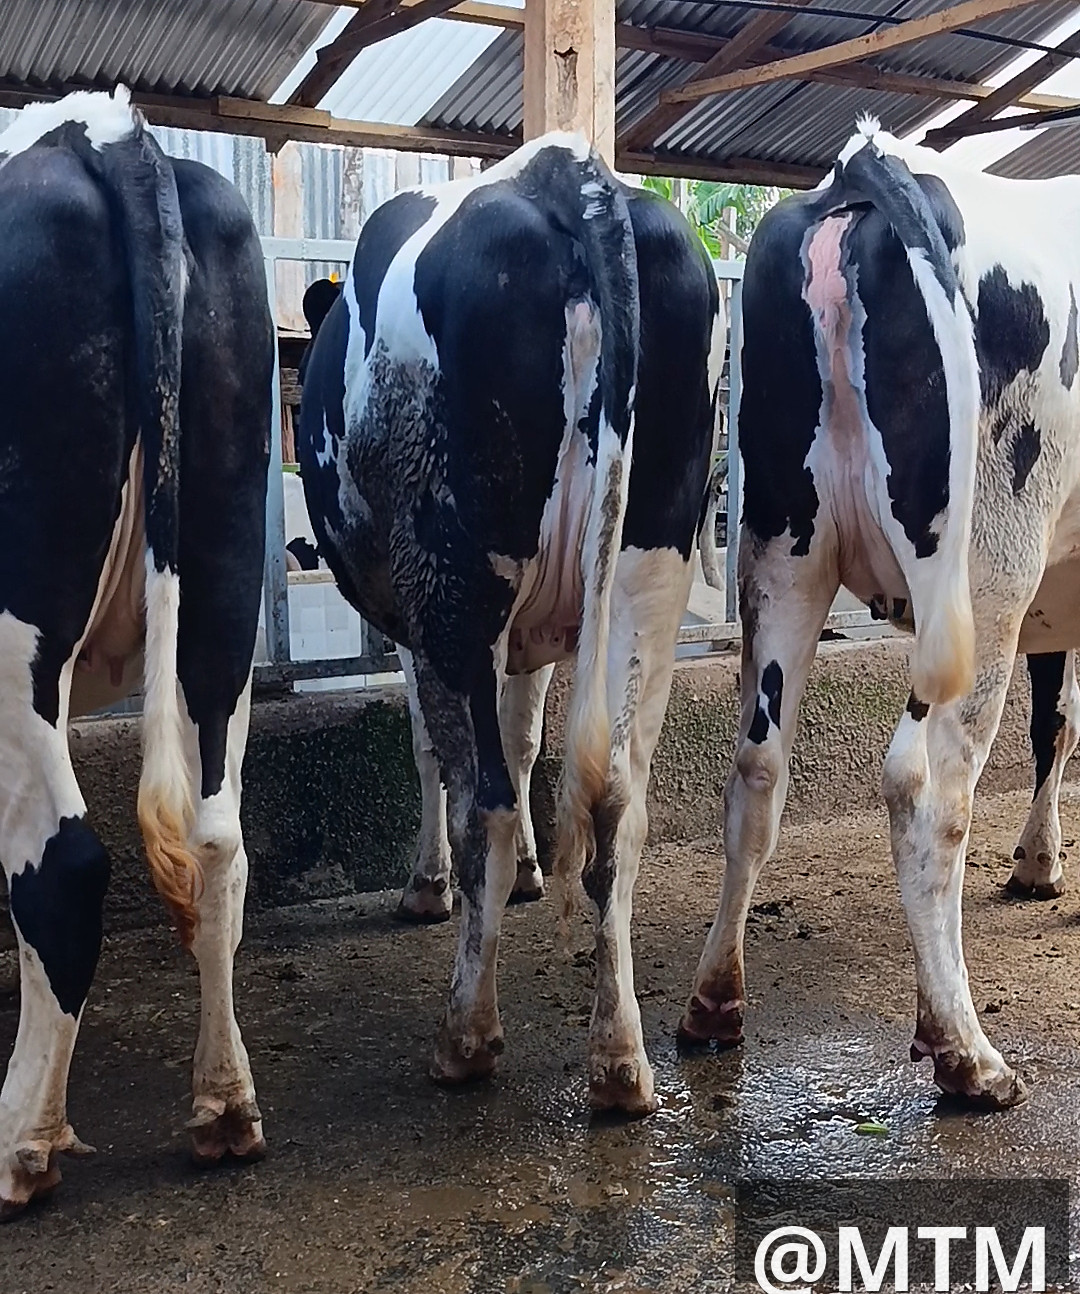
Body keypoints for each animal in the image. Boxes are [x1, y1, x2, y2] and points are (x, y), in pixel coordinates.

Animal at [298, 134, 721, 1115]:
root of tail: (568, 175)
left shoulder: (415, 620)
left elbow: (434, 749)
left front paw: (426, 888)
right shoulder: (536, 631)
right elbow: (529, 737)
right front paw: (533, 871)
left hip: (451, 575)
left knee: (481, 798)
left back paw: (466, 1037)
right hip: (652, 567)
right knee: (619, 805)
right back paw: (620, 1060)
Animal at [680, 114, 1080, 1110]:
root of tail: (870, 163)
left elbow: (1055, 720)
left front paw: (1038, 862)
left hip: (783, 552)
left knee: (757, 767)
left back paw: (712, 1004)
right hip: (985, 574)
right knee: (925, 785)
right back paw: (967, 1051)